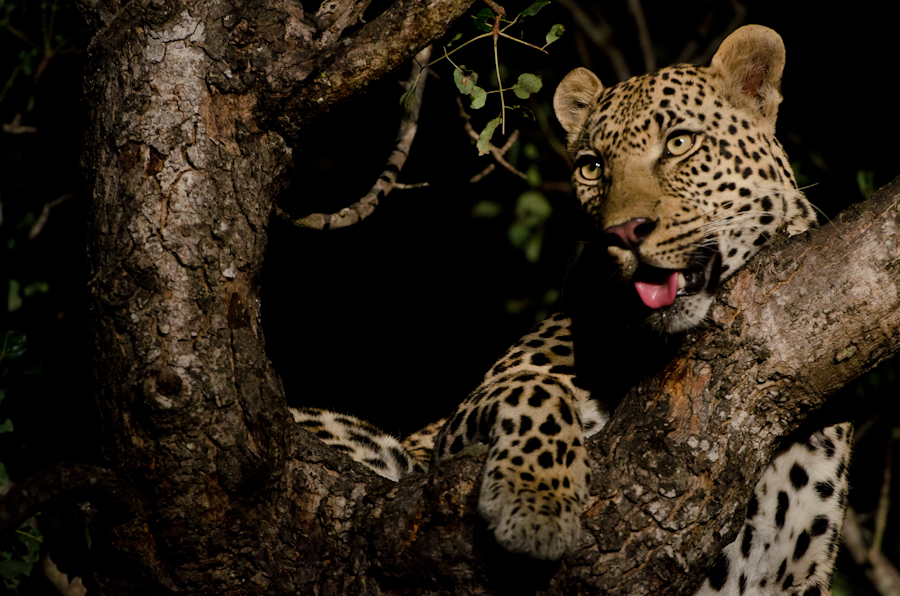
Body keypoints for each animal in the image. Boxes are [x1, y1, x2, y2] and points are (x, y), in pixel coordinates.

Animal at [294, 25, 851, 596]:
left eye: (679, 143)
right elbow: (537, 390)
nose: (623, 232)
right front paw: (536, 508)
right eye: (592, 167)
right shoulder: (454, 430)